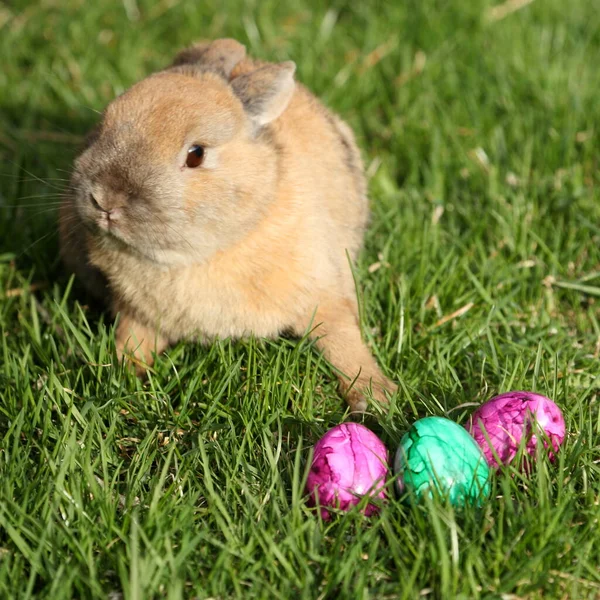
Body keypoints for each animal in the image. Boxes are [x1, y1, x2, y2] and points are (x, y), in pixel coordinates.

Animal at [61, 38, 396, 412]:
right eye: (102, 126)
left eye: (196, 154)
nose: (105, 200)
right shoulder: (136, 314)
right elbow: (133, 340)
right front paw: (123, 374)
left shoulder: (324, 292)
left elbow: (342, 339)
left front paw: (375, 395)